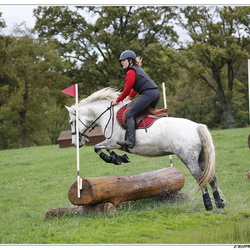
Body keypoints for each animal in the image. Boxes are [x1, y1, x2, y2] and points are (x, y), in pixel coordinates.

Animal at [66, 87, 225, 211]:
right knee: (211, 177)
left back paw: (209, 205)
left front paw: (112, 159)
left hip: (189, 158)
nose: (75, 144)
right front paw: (119, 158)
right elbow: (104, 149)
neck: (107, 115)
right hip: (202, 157)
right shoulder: (112, 143)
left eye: (72, 122)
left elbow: (97, 148)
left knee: (200, 177)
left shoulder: (112, 142)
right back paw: (219, 204)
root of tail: (197, 126)